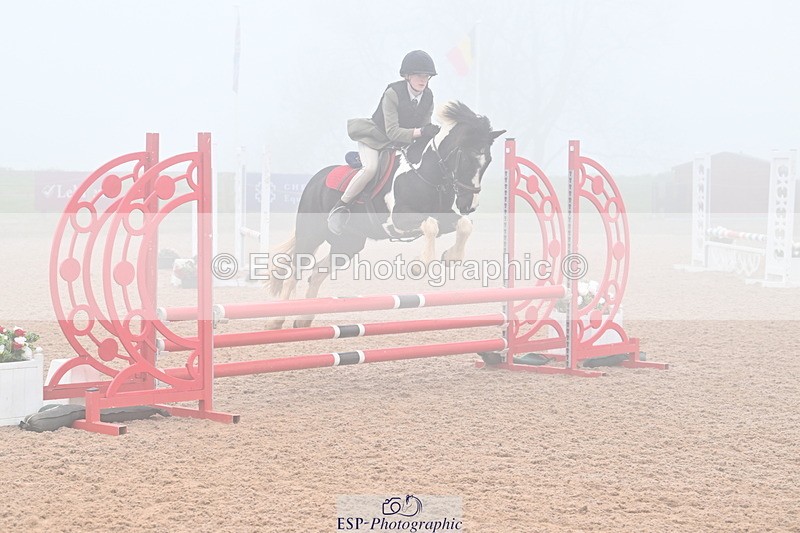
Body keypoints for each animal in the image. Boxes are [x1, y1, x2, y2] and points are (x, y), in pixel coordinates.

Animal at [266, 101, 505, 328]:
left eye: (488, 161)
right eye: (466, 158)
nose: (469, 205)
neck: (426, 172)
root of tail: (315, 180)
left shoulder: (444, 215)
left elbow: (463, 225)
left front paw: (450, 257)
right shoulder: (399, 219)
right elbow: (430, 225)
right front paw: (419, 266)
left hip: (348, 244)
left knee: (317, 273)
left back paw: (303, 319)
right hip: (311, 235)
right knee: (293, 273)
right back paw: (277, 320)